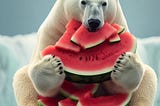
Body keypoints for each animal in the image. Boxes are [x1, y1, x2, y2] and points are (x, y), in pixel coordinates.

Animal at [12, 0, 158, 105]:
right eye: (83, 1)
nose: (94, 22)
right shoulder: (52, 31)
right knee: (23, 81)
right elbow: (44, 85)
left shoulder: (119, 23)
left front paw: (125, 64)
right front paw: (51, 66)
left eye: (104, 3)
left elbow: (120, 87)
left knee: (147, 79)